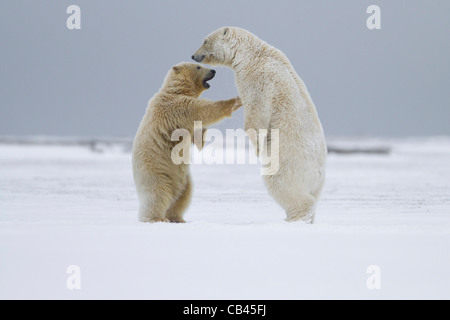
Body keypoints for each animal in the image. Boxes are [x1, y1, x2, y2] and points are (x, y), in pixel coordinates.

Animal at [132, 62, 241, 222]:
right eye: (198, 67)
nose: (213, 70)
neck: (175, 90)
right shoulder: (177, 107)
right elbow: (203, 110)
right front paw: (236, 101)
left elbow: (197, 134)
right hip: (156, 171)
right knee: (157, 194)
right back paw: (156, 218)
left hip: (183, 179)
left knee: (183, 196)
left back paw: (177, 218)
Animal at [192, 26, 326, 222]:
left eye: (205, 41)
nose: (194, 55)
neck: (252, 54)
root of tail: (318, 173)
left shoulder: (258, 78)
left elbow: (256, 113)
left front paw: (257, 148)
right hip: (315, 181)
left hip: (289, 160)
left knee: (280, 181)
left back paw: (293, 218)